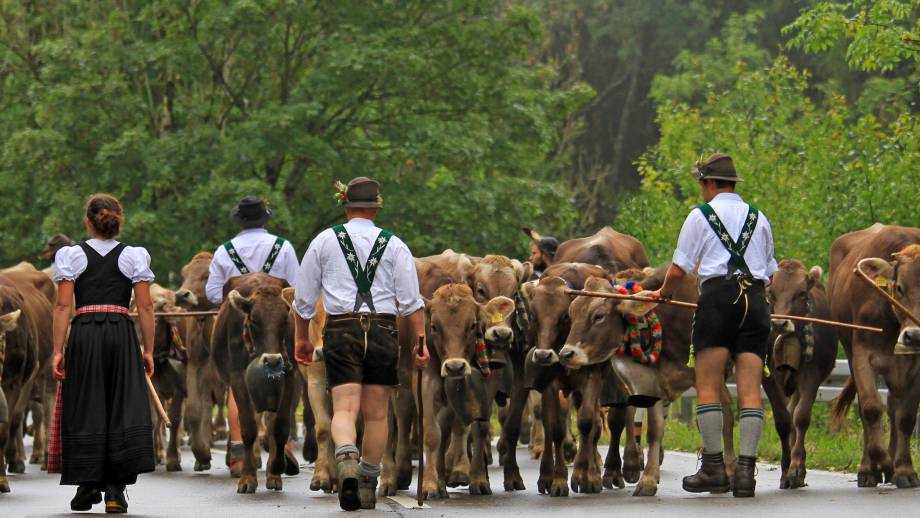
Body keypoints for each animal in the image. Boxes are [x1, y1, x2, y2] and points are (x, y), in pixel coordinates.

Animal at [764, 260, 836, 492]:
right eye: (771, 293)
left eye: (801, 293)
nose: (779, 324)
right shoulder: (768, 378)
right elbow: (783, 421)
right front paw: (786, 470)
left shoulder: (811, 375)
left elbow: (801, 417)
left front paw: (796, 468)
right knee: (789, 414)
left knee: (795, 412)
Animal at [828, 225, 920, 490]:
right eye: (899, 287)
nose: (915, 336)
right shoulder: (863, 355)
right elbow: (870, 408)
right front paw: (884, 464)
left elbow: (906, 417)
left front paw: (904, 470)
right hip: (851, 354)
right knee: (868, 409)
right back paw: (868, 470)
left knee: (894, 408)